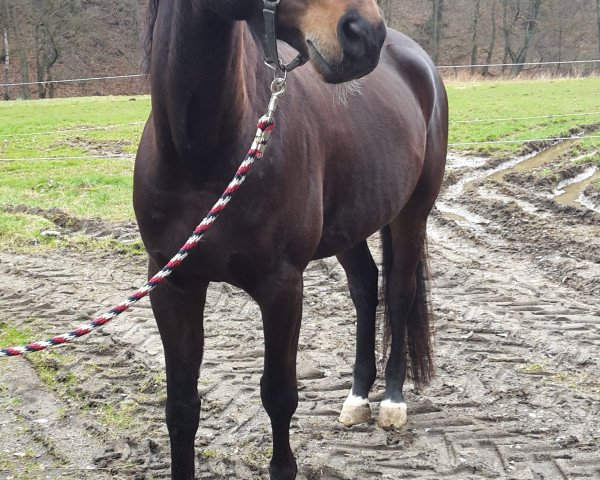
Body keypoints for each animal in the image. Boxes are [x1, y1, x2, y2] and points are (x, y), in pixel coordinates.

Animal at [134, 0, 448, 476]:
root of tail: (419, 61)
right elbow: (182, 406)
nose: (365, 33)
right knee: (364, 287)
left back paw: (392, 401)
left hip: (412, 212)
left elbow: (279, 396)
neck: (200, 153)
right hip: (350, 223)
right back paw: (357, 398)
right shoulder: (172, 283)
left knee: (399, 292)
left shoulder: (281, 286)